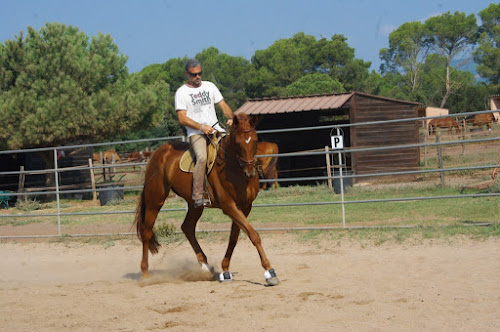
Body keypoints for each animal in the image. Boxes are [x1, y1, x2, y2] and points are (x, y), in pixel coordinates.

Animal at [135, 113, 280, 286]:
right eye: (237, 142)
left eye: (256, 140)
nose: (250, 172)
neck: (233, 168)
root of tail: (158, 153)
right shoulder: (229, 206)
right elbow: (254, 235)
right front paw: (270, 272)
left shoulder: (244, 207)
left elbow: (234, 237)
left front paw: (225, 270)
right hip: (155, 200)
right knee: (146, 232)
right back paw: (145, 274)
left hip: (195, 205)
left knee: (187, 227)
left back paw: (204, 267)